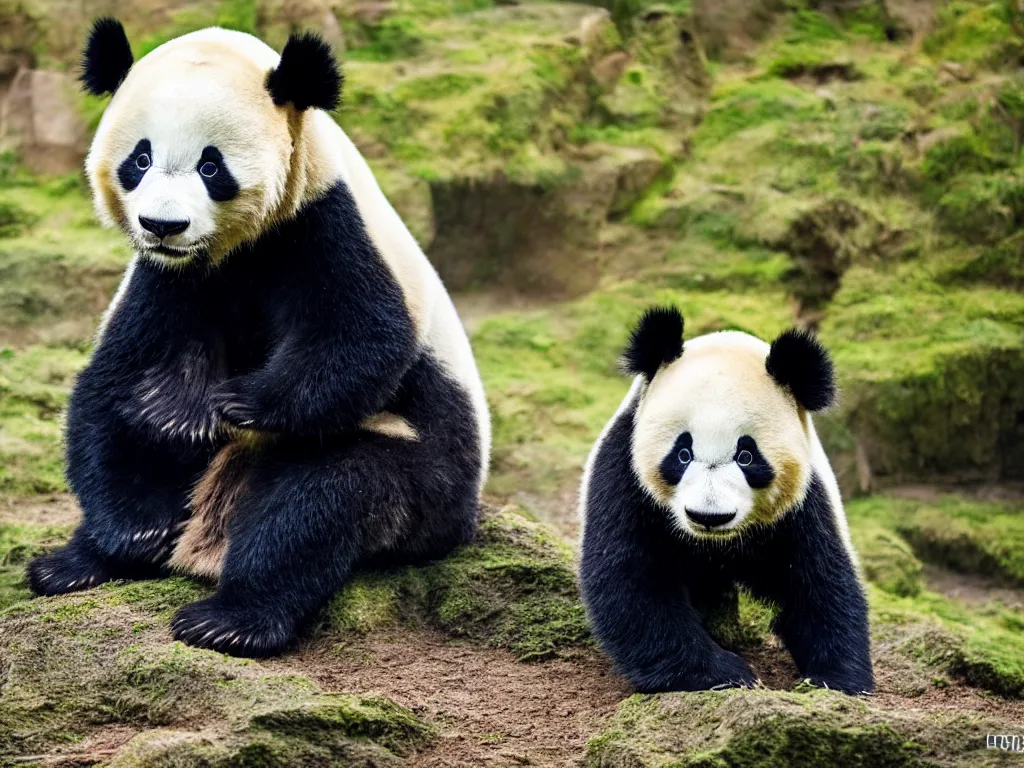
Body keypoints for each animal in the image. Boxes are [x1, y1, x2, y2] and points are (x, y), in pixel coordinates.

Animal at [28, 19, 491, 655]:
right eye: (140, 158)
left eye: (211, 166)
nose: (163, 225)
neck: (235, 249)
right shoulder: (168, 278)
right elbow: (119, 385)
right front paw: (140, 508)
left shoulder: (326, 225)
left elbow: (361, 336)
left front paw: (235, 402)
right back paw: (77, 562)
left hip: (428, 475)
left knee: (322, 499)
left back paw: (230, 619)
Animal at [581, 309, 868, 696]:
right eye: (683, 453)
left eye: (746, 456)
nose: (708, 515)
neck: (714, 544)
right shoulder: (625, 470)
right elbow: (633, 578)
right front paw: (723, 674)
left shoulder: (803, 500)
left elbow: (818, 579)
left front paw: (837, 678)